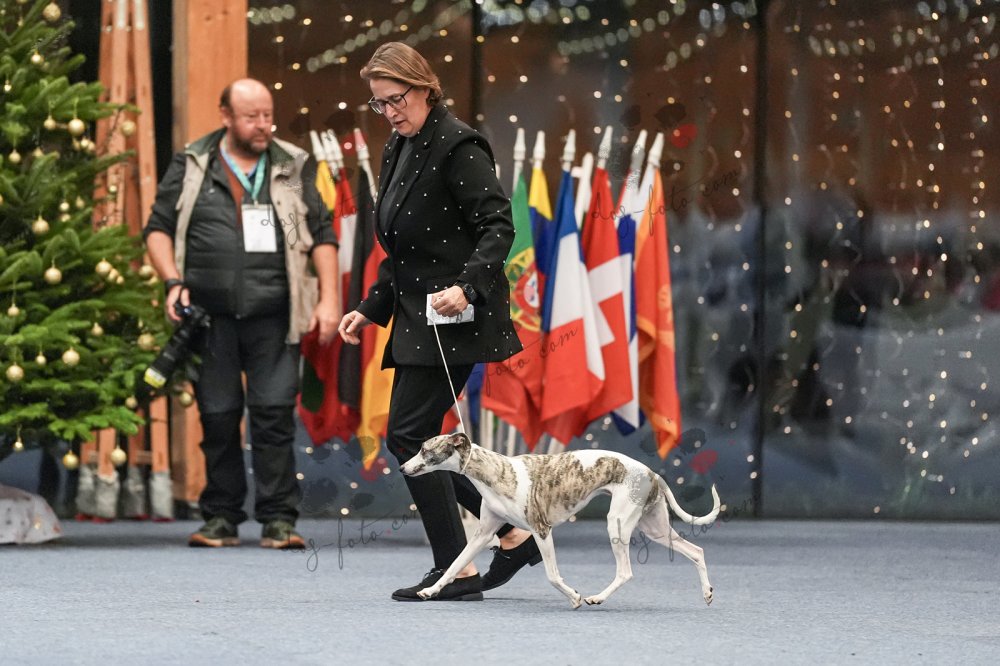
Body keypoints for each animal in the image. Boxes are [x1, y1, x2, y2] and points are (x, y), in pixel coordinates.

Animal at [400, 432, 720, 608]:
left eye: (425, 450)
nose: (402, 468)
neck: (495, 472)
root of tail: (652, 473)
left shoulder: (541, 530)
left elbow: (553, 575)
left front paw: (575, 597)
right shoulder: (482, 534)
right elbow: (454, 565)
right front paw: (430, 590)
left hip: (617, 523)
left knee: (626, 572)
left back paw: (596, 598)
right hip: (655, 528)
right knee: (696, 551)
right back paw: (707, 593)